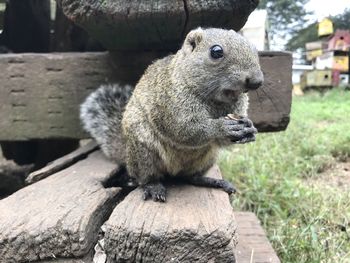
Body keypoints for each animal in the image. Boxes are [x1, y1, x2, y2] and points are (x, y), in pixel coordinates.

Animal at [80, 28, 264, 202]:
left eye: (254, 49)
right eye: (216, 51)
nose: (257, 81)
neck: (215, 100)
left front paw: (250, 129)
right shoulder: (168, 103)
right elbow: (184, 129)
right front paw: (220, 127)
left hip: (207, 157)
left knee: (190, 177)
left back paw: (211, 181)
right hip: (144, 151)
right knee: (144, 177)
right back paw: (153, 186)